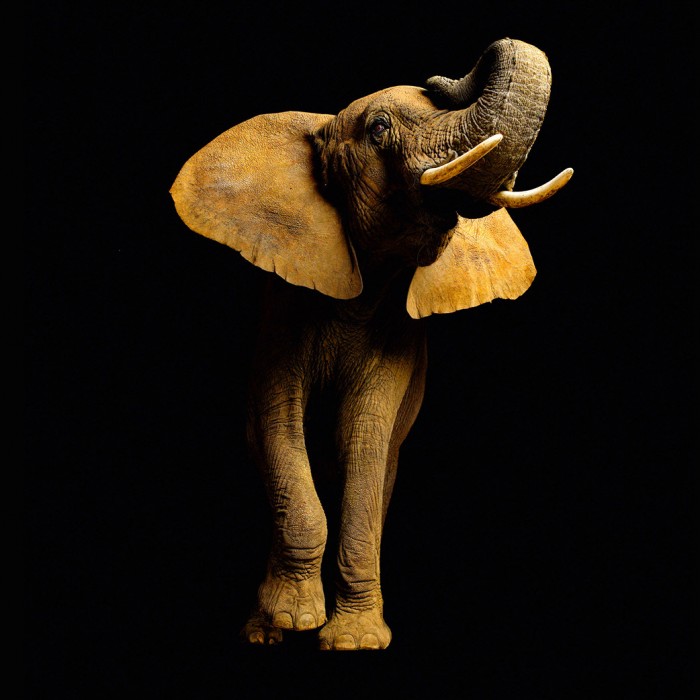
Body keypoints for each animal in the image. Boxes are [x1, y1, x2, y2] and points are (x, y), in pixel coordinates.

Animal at [170, 37, 572, 650]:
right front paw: (292, 619)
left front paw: (354, 641)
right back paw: (264, 632)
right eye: (379, 129)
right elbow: (278, 419)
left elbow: (363, 436)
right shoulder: (286, 302)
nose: (443, 75)